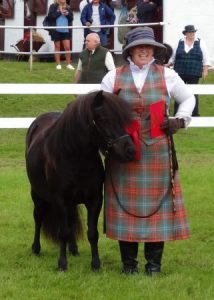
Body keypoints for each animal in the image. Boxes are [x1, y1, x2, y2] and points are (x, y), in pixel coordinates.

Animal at [25, 90, 135, 270]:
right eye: (103, 119)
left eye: (123, 119)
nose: (130, 151)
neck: (76, 158)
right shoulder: (60, 201)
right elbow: (62, 233)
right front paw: (62, 264)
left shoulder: (95, 200)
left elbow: (92, 233)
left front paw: (96, 264)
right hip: (38, 194)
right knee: (38, 217)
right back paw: (36, 249)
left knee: (70, 221)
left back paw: (73, 248)